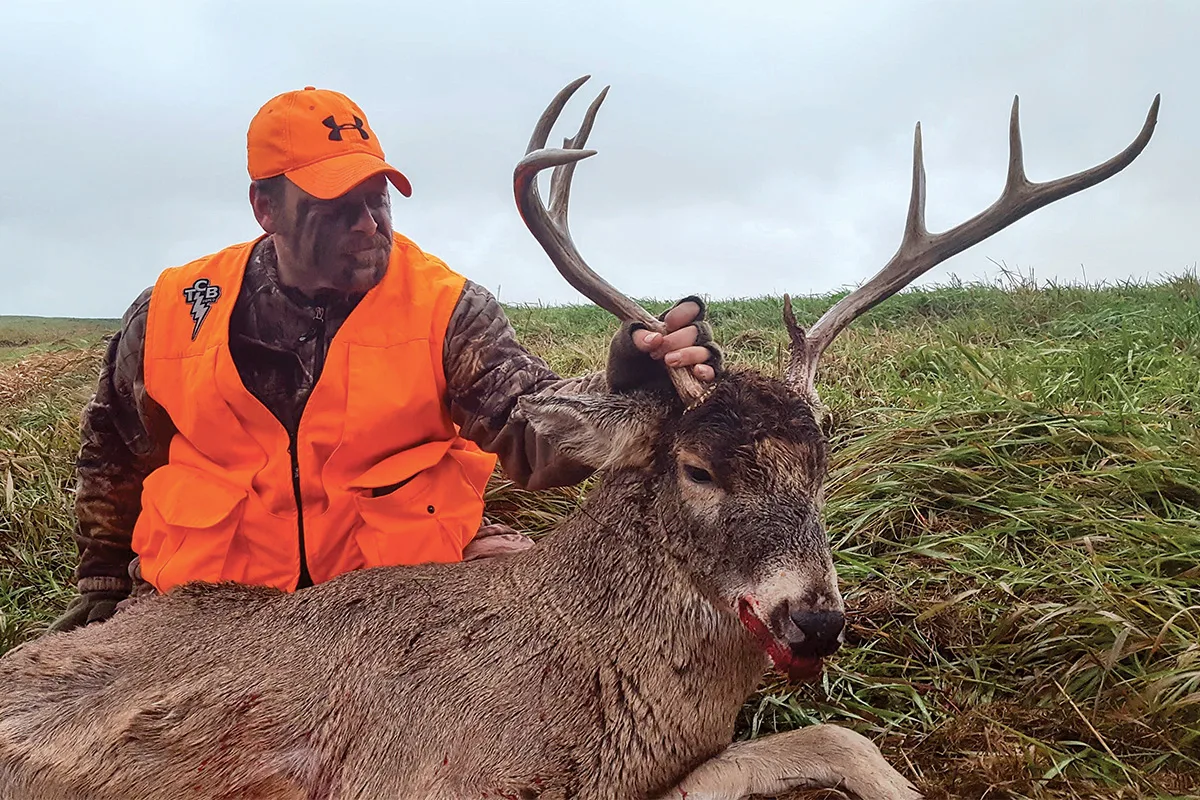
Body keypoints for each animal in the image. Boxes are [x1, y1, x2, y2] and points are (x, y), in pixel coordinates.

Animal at [0, 77, 1158, 800]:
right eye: (697, 466)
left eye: (825, 466)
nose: (819, 619)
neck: (590, 662)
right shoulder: (427, 771)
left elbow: (832, 733)